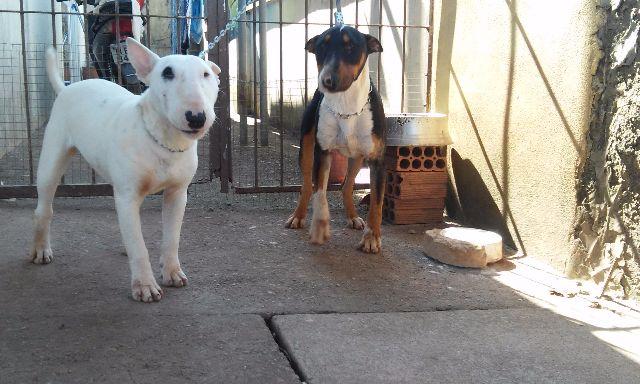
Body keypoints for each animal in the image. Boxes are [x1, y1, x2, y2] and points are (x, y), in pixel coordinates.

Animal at [33, 39, 222, 304]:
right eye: (167, 73)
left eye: (206, 74)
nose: (196, 117)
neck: (164, 142)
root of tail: (68, 88)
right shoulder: (127, 195)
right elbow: (139, 247)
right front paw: (145, 286)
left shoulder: (177, 194)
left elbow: (171, 237)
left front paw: (172, 272)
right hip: (52, 160)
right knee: (44, 208)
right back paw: (41, 249)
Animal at [288, 25, 388, 254]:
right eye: (321, 47)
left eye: (350, 46)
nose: (327, 81)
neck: (346, 107)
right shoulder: (322, 152)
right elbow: (321, 193)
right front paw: (320, 226)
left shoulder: (377, 161)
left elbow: (376, 204)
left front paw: (371, 238)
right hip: (306, 149)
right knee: (307, 186)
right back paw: (298, 216)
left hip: (357, 158)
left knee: (347, 185)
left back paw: (353, 217)